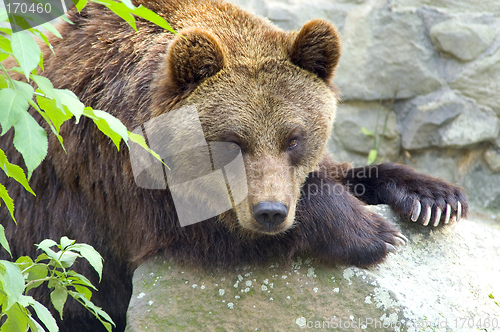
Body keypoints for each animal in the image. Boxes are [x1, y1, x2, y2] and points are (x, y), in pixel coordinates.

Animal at [0, 0, 468, 332]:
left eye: (293, 138)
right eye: (232, 142)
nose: (270, 212)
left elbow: (336, 172)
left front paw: (434, 197)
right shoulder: (112, 172)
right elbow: (203, 224)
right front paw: (373, 233)